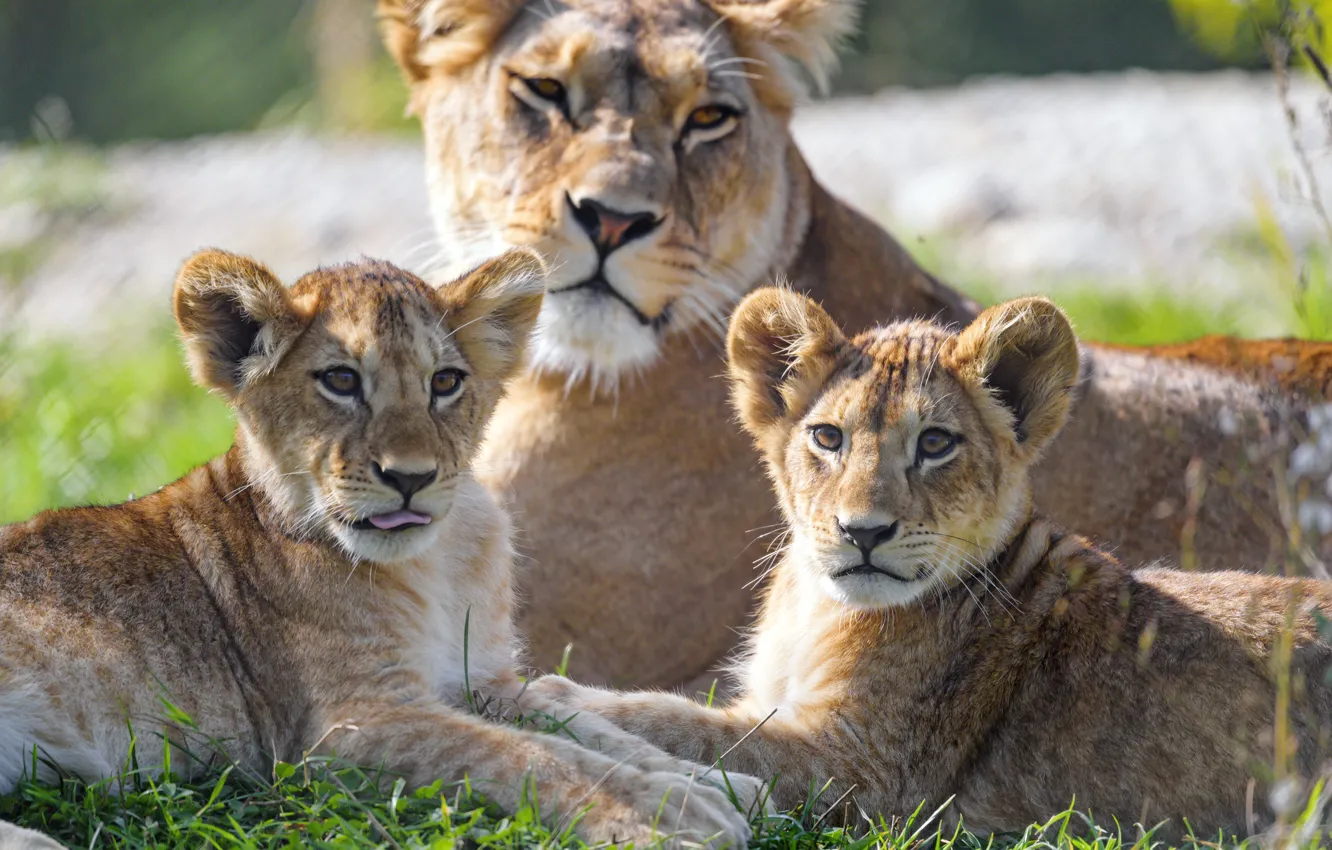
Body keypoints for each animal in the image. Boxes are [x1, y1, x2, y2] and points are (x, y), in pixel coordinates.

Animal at [0, 249, 762, 847]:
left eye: (445, 383)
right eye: (341, 380)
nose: (411, 478)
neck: (437, 564)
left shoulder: (477, 678)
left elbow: (585, 727)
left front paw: (716, 782)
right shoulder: (349, 725)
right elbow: (525, 755)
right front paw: (672, 815)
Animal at [528, 290, 1332, 838]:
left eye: (936, 444)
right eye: (828, 437)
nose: (863, 532)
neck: (814, 607)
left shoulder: (867, 775)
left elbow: (690, 727)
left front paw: (554, 694)